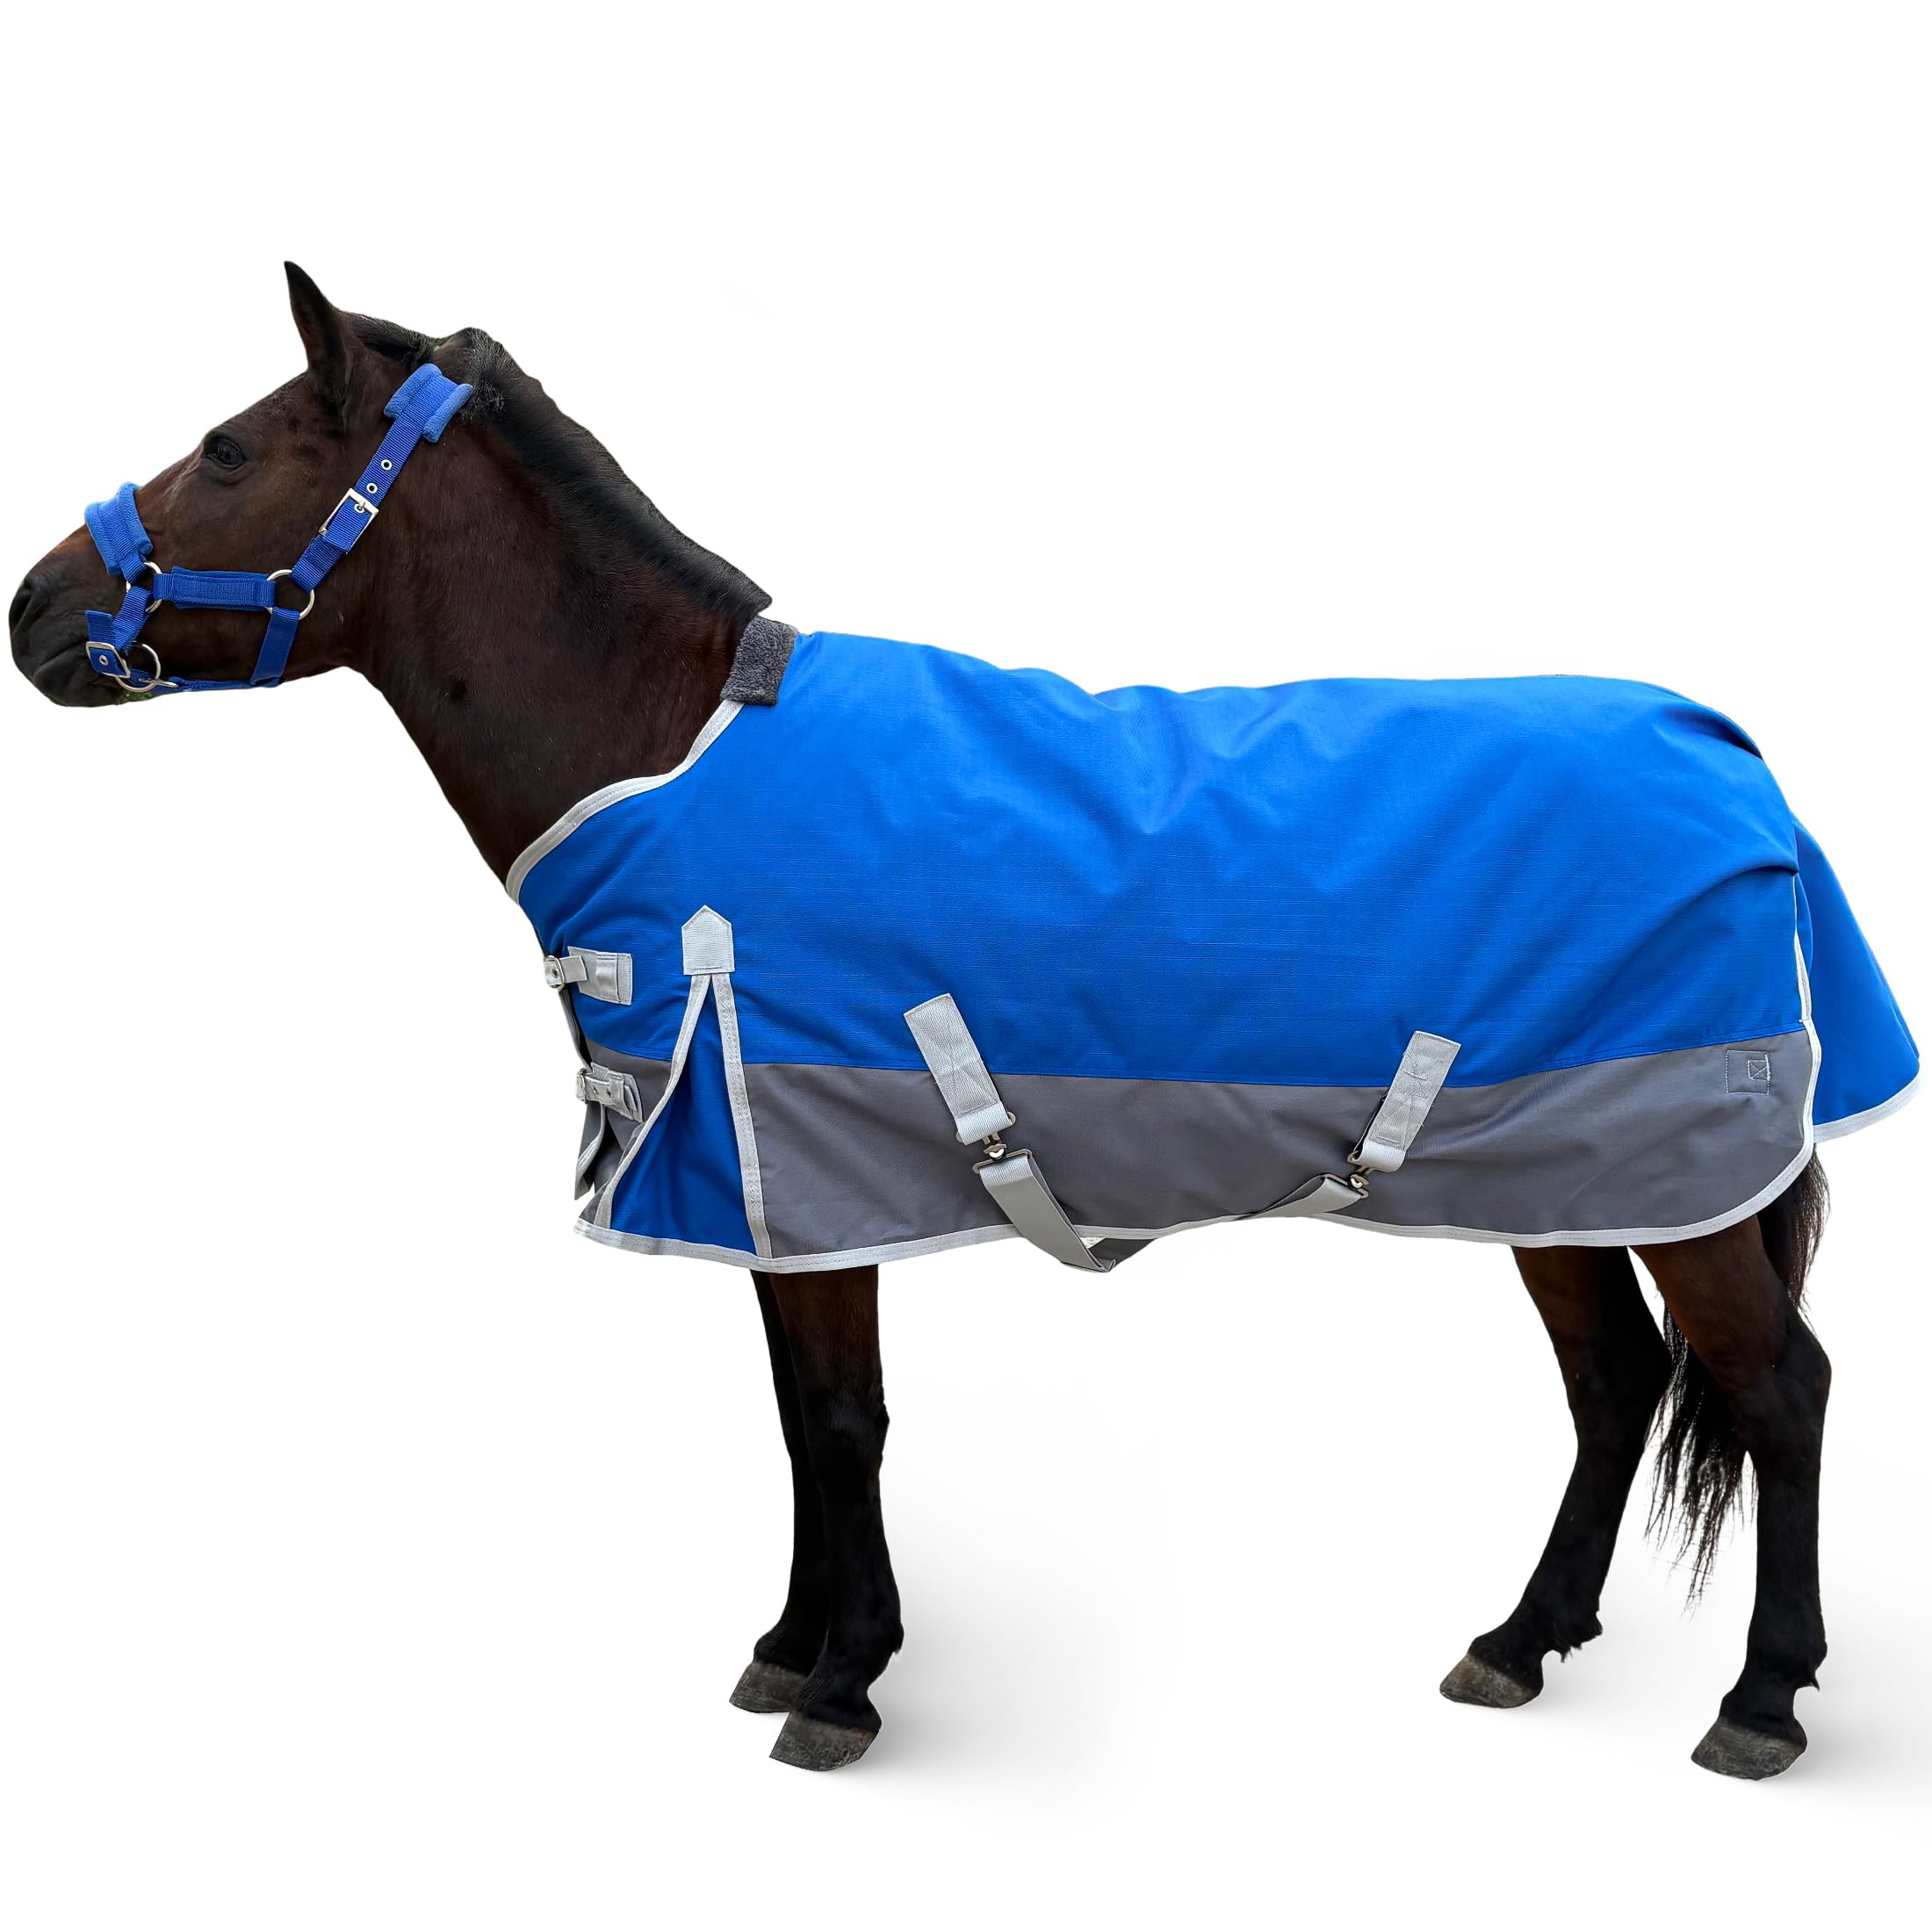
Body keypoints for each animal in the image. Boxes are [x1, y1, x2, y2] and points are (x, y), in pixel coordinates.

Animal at [10, 263, 1903, 1779]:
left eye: (229, 450)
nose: (33, 614)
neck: (669, 750)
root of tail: (1726, 753)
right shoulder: (762, 1183)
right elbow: (799, 1419)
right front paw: (790, 1645)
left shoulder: (799, 1160)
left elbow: (842, 1421)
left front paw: (841, 1686)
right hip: (1565, 1177)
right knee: (1617, 1382)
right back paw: (1516, 1643)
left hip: (1678, 1181)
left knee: (1775, 1386)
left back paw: (1759, 1701)